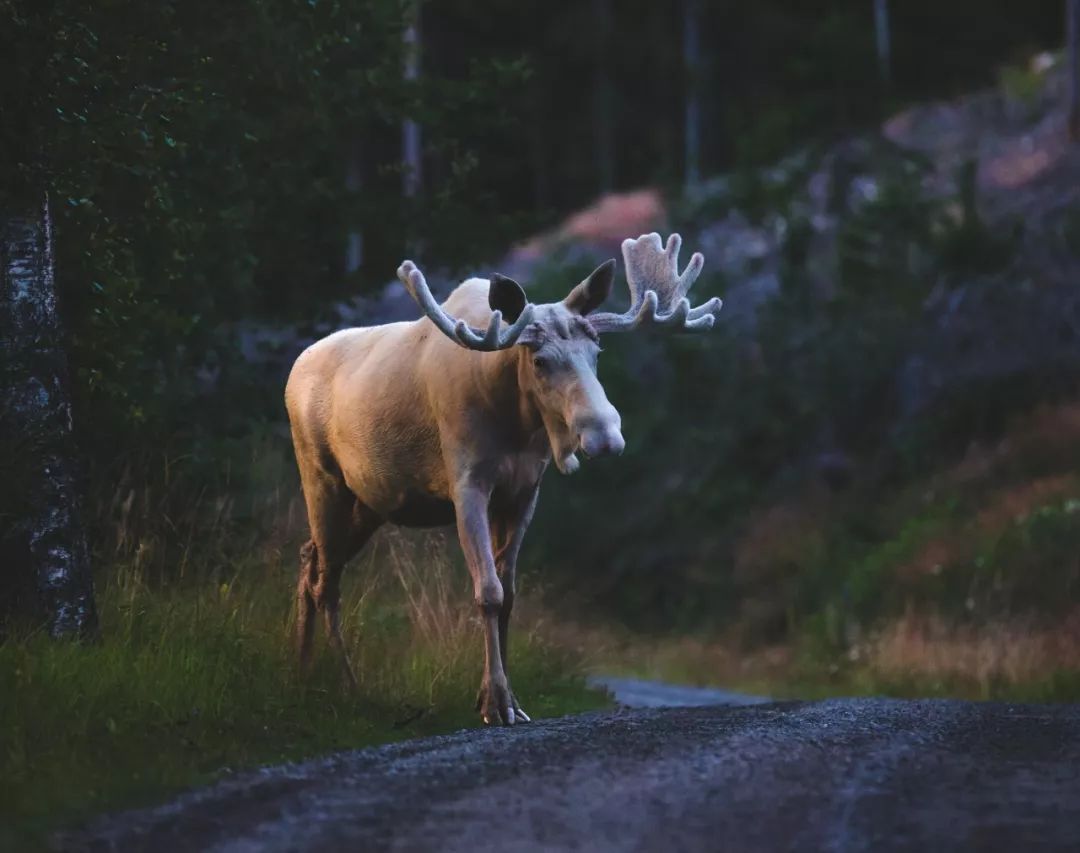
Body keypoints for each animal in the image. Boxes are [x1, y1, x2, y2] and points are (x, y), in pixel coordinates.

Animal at [287, 229, 721, 725]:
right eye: (540, 361)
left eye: (596, 352)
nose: (605, 436)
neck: (514, 420)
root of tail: (293, 371)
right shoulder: (467, 484)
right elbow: (489, 591)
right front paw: (495, 703)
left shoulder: (524, 491)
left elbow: (510, 593)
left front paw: (509, 698)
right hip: (322, 478)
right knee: (326, 581)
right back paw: (345, 685)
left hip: (369, 502)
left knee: (311, 559)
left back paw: (301, 673)